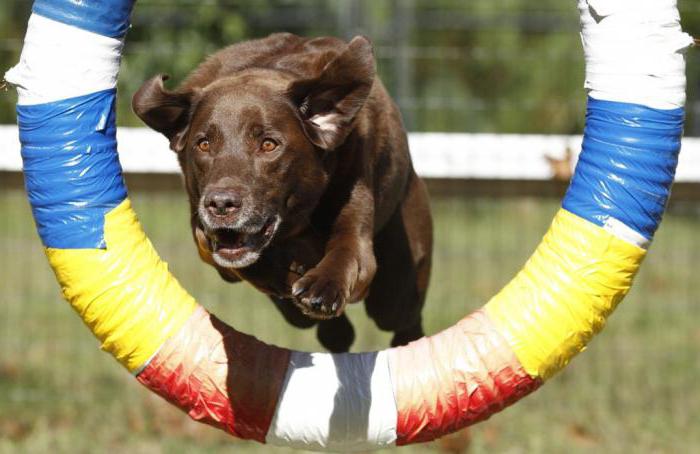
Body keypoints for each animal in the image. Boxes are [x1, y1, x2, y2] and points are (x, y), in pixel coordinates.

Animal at [131, 33, 430, 352]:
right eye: (203, 143)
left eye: (269, 144)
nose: (220, 205)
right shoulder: (205, 233)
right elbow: (245, 258)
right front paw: (290, 273)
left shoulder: (355, 209)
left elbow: (347, 252)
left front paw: (322, 287)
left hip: (398, 282)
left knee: (401, 317)